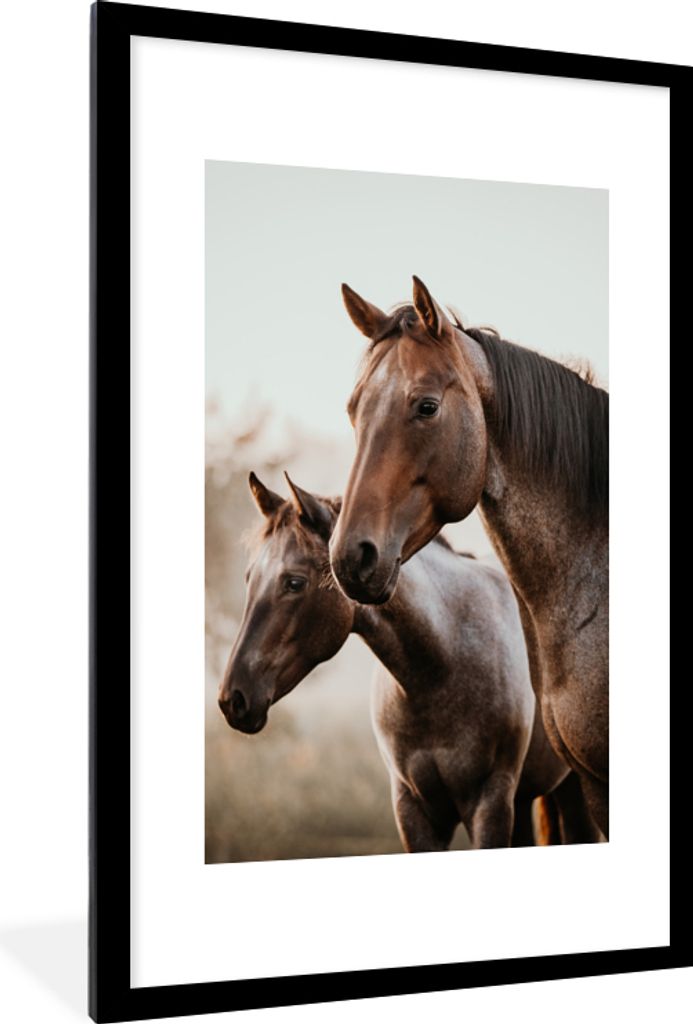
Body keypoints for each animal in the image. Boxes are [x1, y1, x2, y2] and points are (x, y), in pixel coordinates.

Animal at [218, 472, 600, 851]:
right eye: (249, 578)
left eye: (295, 582)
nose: (232, 699)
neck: (441, 670)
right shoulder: (412, 808)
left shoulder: (488, 804)